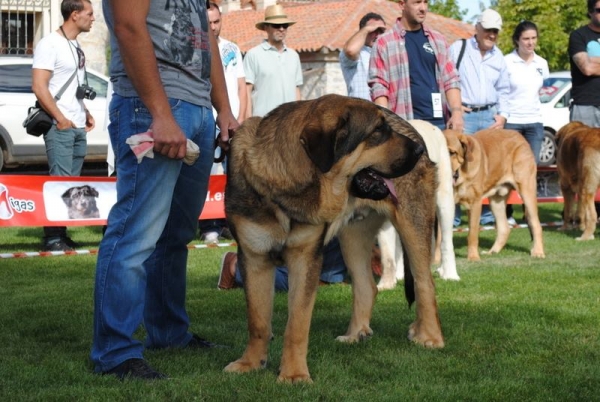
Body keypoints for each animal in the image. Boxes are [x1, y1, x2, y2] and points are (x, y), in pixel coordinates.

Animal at [225, 94, 446, 384]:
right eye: (378, 131)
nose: (419, 150)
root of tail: (415, 129)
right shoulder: (254, 257)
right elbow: (258, 320)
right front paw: (250, 363)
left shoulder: (305, 258)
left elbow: (297, 324)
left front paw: (294, 374)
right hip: (352, 236)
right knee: (367, 286)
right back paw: (355, 334)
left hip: (413, 222)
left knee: (424, 282)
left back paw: (430, 336)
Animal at [442, 128, 548, 260]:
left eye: (452, 153)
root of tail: (519, 136)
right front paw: (436, 260)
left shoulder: (474, 203)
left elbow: (472, 233)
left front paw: (473, 258)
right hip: (496, 201)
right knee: (504, 228)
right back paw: (492, 251)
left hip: (527, 190)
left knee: (536, 224)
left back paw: (538, 252)